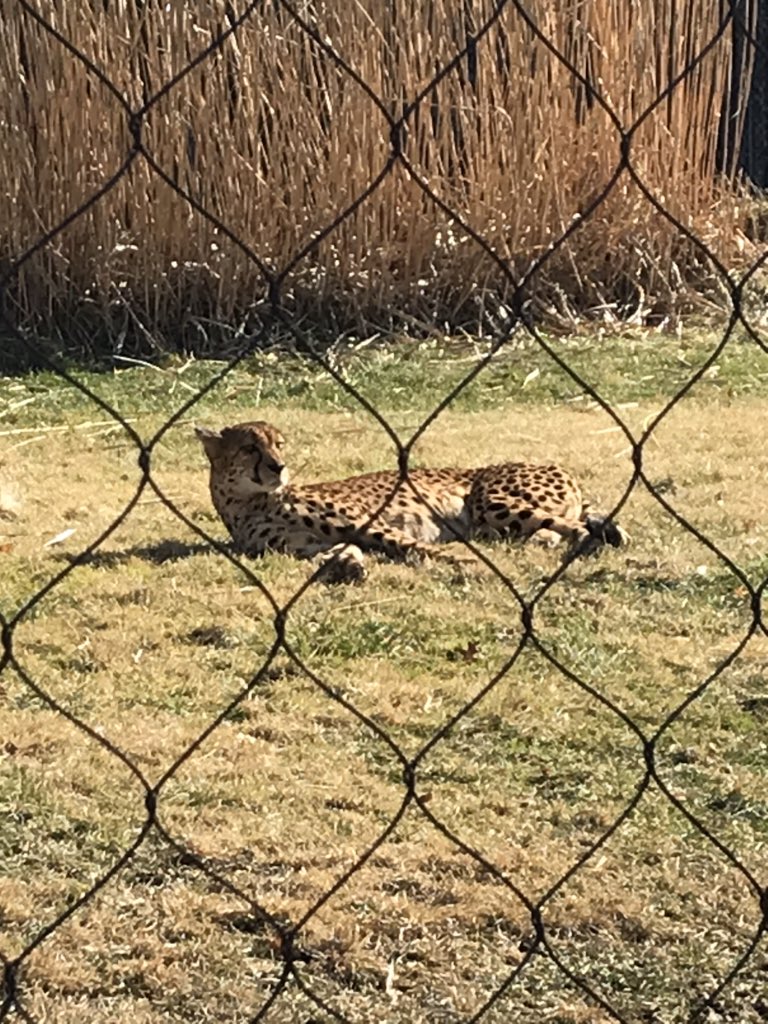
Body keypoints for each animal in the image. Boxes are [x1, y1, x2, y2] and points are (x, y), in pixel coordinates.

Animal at [195, 419, 627, 583]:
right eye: (250, 448)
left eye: (279, 445)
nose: (279, 466)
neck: (250, 503)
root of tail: (557, 466)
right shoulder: (303, 545)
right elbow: (336, 552)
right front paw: (346, 566)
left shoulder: (368, 522)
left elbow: (411, 545)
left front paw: (462, 562)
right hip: (496, 521)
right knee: (553, 531)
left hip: (491, 500)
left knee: (575, 527)